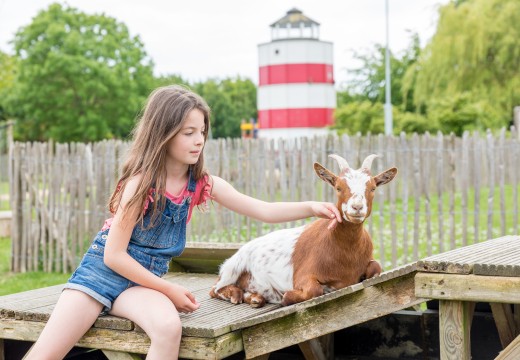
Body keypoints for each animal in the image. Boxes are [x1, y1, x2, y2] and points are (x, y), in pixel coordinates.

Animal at [209, 153, 396, 308]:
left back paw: (255, 298)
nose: (356, 207)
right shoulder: (304, 274)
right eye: (338, 187)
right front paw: (286, 295)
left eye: (372, 188)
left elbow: (376, 266)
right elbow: (313, 290)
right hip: (233, 266)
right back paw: (236, 294)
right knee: (215, 288)